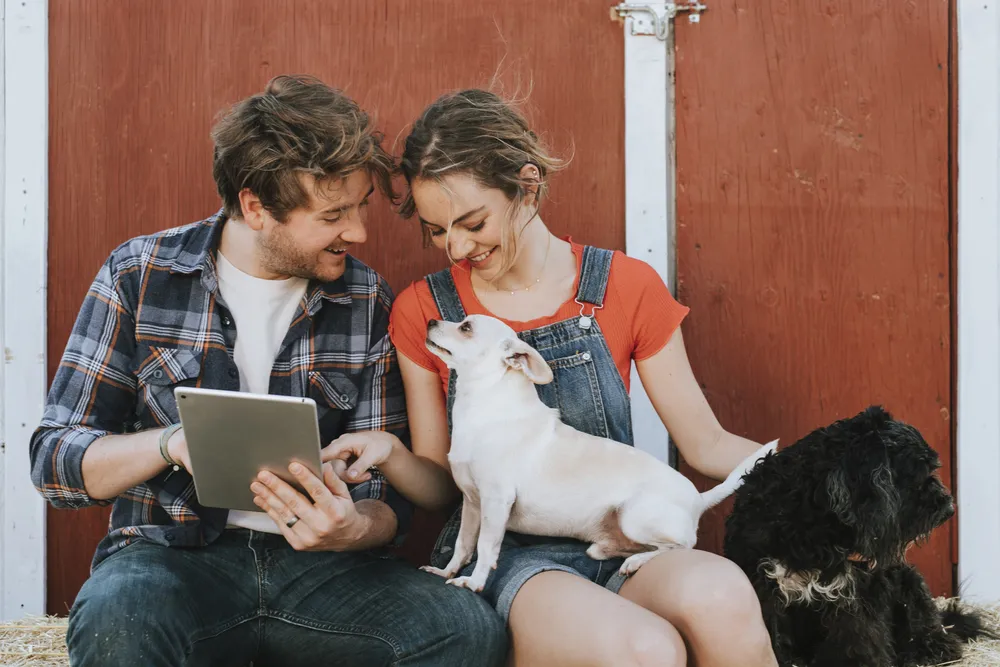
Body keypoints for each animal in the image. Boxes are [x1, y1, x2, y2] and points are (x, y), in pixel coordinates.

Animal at [418, 316, 776, 592]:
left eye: (466, 327)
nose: (432, 321)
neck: (482, 407)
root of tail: (698, 500)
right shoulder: (472, 502)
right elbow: (464, 544)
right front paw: (447, 571)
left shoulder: (495, 500)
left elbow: (485, 547)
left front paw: (474, 582)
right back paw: (610, 550)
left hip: (635, 516)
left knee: (679, 545)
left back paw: (637, 560)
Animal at [724, 408, 988, 667]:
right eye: (917, 473)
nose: (949, 508)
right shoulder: (764, 590)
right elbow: (773, 639)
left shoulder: (858, 592)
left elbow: (859, 639)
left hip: (909, 581)